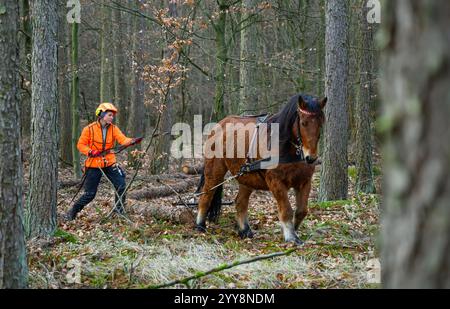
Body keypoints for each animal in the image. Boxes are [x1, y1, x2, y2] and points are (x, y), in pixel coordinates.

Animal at [195, 92, 326, 244]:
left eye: (321, 123)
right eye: (303, 123)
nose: (311, 158)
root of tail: (218, 125)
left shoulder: (304, 182)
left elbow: (302, 211)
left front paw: (294, 229)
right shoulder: (275, 181)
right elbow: (287, 209)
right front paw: (291, 236)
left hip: (246, 176)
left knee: (240, 202)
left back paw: (245, 230)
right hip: (215, 171)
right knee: (206, 195)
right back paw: (200, 226)